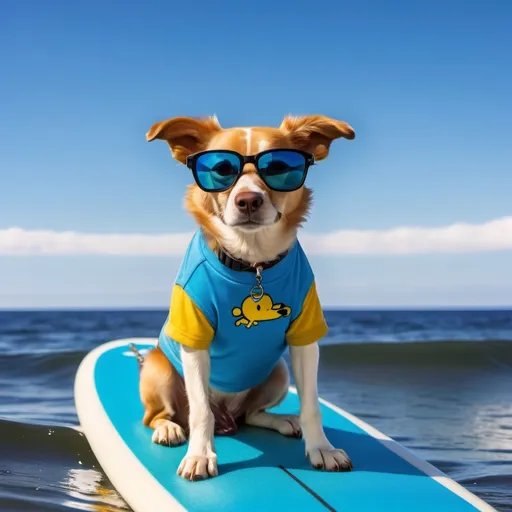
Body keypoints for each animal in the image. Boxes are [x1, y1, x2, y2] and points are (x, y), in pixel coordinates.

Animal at [139, 114, 356, 482]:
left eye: (279, 167)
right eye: (220, 169)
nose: (248, 200)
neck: (251, 263)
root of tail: (228, 418)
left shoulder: (304, 339)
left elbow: (312, 406)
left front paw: (322, 449)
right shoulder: (194, 340)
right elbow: (200, 411)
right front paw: (200, 455)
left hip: (278, 372)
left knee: (251, 415)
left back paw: (282, 420)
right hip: (159, 370)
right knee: (160, 416)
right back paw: (169, 428)